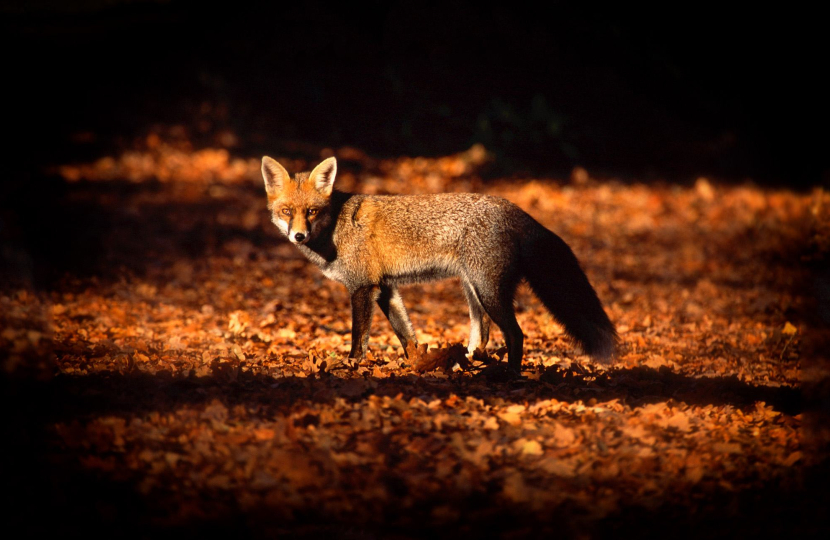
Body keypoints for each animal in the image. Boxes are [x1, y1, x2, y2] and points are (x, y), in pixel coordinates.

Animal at [261, 156, 617, 373]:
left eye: (311, 212)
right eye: (286, 212)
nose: (298, 236)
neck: (336, 227)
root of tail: (513, 208)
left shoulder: (363, 287)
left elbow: (358, 337)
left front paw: (352, 365)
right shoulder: (386, 288)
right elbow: (406, 335)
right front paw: (416, 364)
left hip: (488, 291)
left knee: (516, 334)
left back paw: (508, 376)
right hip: (472, 289)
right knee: (482, 334)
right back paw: (468, 363)